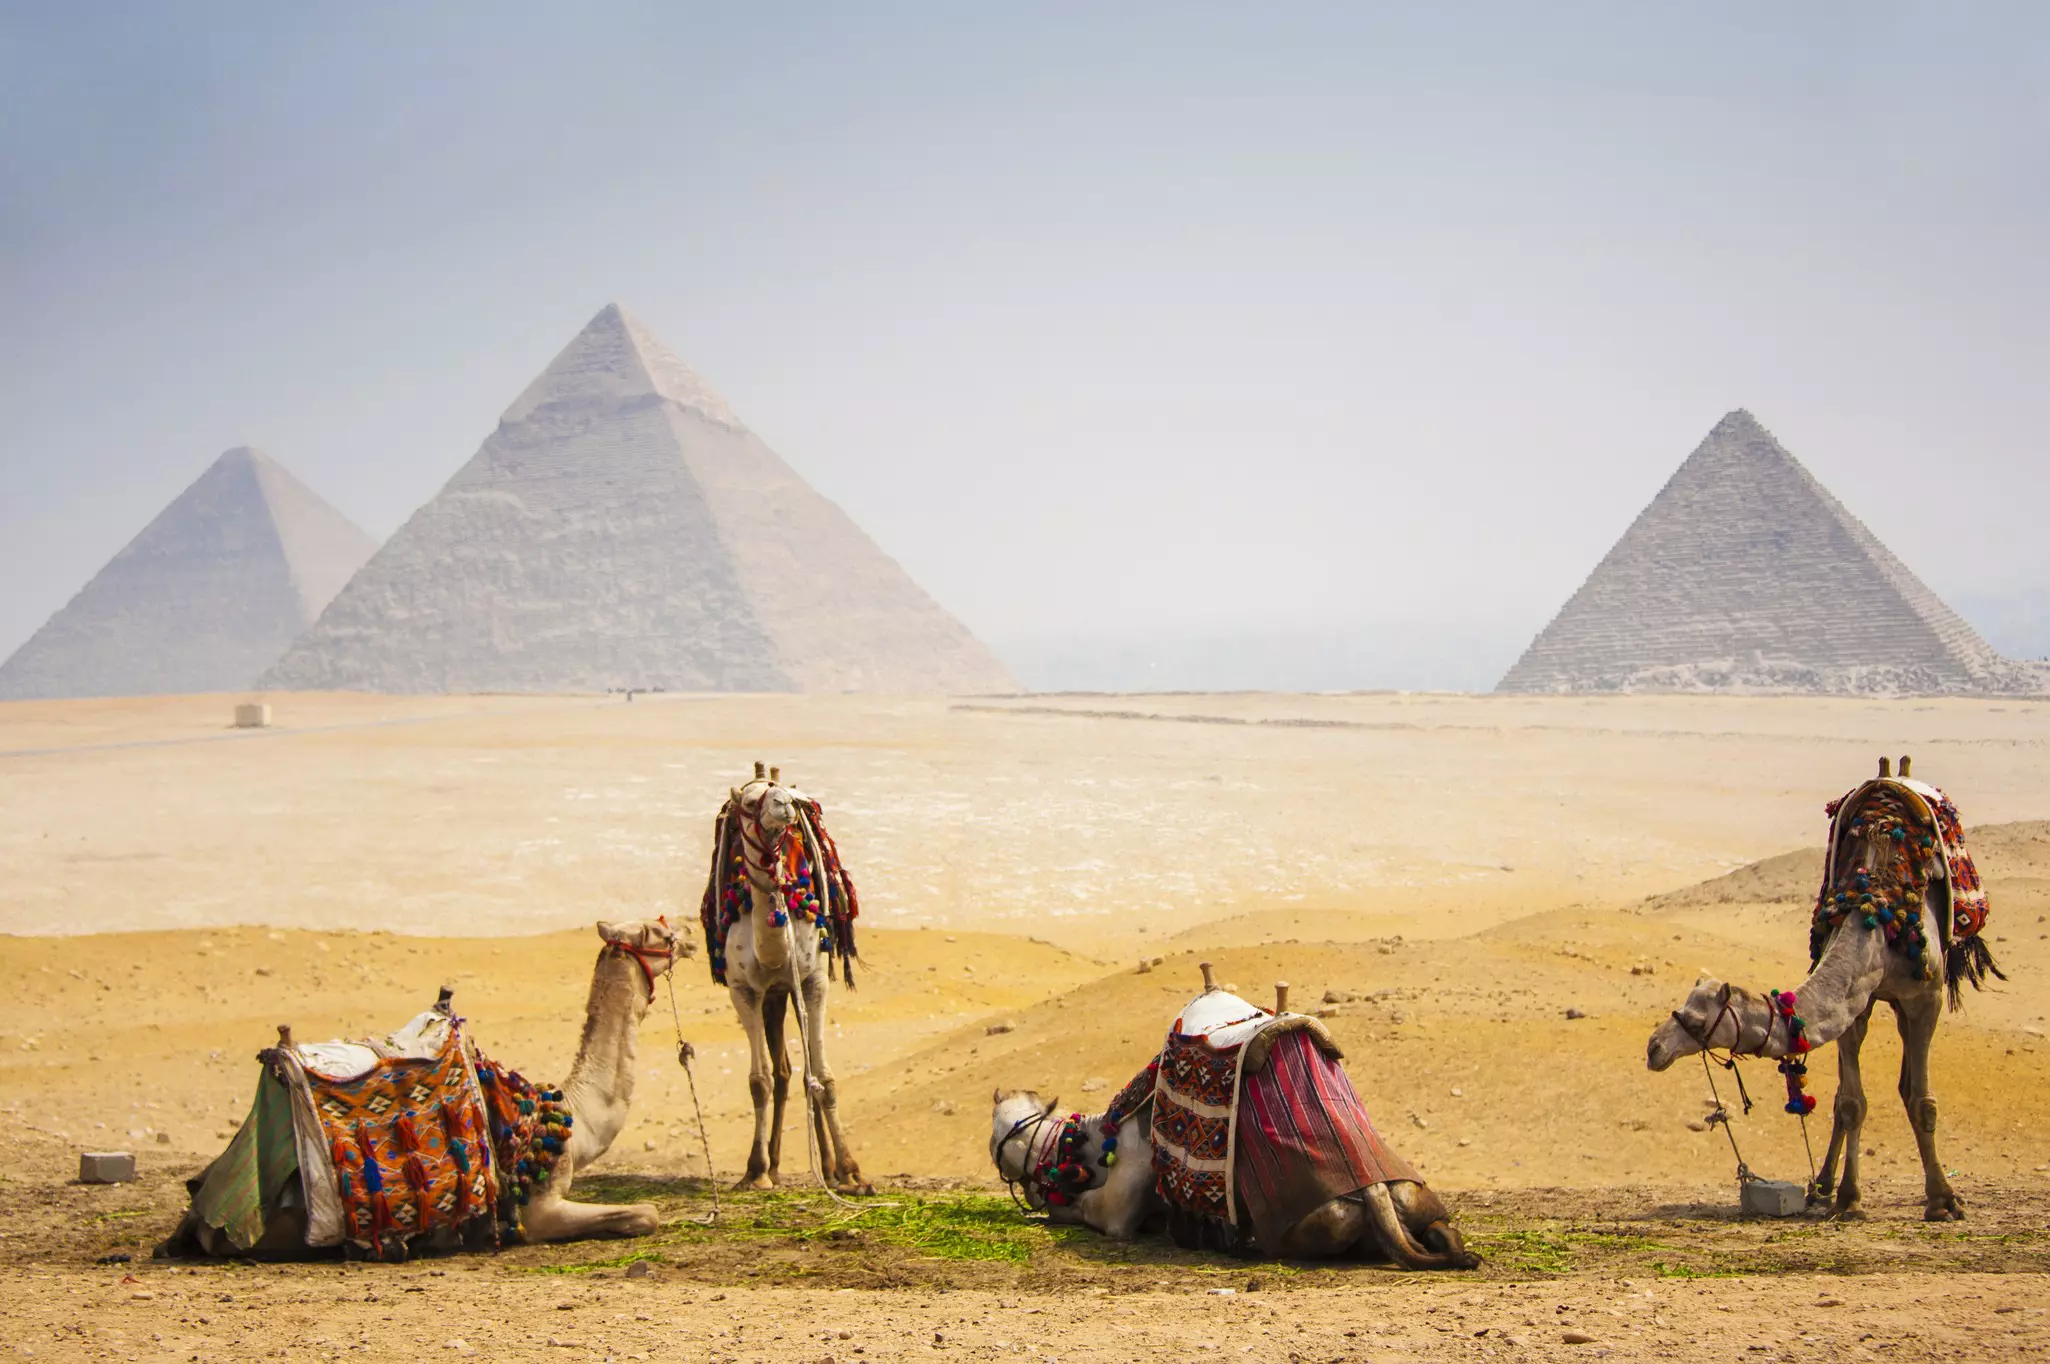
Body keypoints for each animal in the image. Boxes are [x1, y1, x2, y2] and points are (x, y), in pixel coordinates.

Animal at [161, 919, 682, 1257]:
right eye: (659, 933)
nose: (690, 935)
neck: (570, 1119)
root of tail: (201, 1212)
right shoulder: (537, 1209)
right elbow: (646, 1214)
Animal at [702, 764, 870, 1193]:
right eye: (749, 802)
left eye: (786, 798)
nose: (786, 806)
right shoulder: (744, 991)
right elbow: (759, 1081)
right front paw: (756, 1171)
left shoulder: (813, 981)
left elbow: (824, 1076)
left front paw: (852, 1171)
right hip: (774, 996)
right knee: (781, 1073)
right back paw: (774, 1166)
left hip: (790, 992)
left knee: (805, 1069)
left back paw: (827, 1166)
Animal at [1647, 758, 2004, 1222]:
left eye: (1694, 1018)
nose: (1654, 1048)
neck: (1875, 918)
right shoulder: (1857, 1004)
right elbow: (1850, 1103)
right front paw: (1849, 1198)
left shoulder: (1927, 998)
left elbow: (1924, 1102)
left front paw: (1943, 1201)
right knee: (1856, 1095)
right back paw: (1822, 1184)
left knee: (1910, 1084)